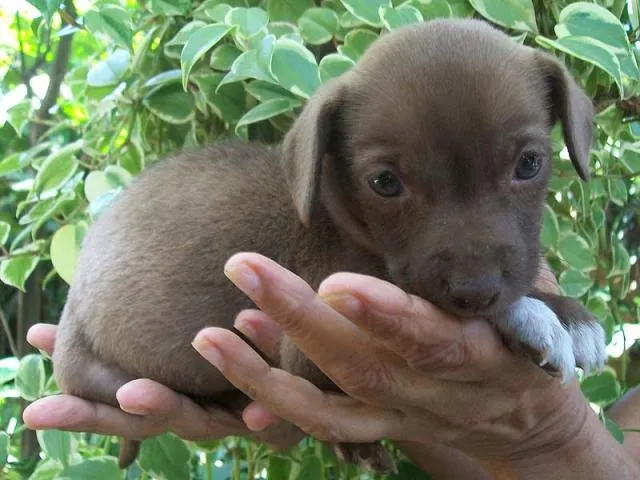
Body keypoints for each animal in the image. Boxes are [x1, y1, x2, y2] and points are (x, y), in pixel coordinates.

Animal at [53, 18, 604, 472]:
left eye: (529, 164)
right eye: (385, 182)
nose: (476, 291)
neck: (344, 217)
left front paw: (563, 310)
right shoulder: (319, 330)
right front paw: (538, 312)